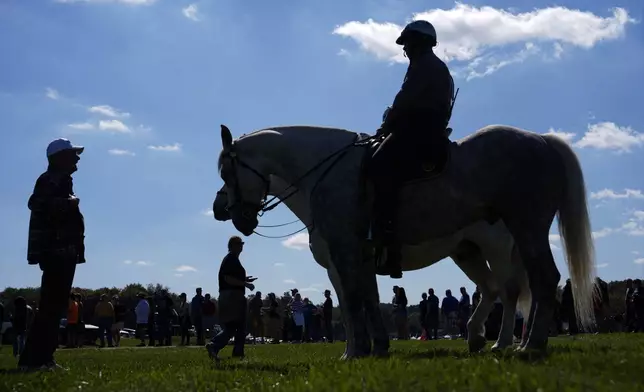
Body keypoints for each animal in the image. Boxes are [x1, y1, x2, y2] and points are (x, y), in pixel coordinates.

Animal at [218, 124, 600, 356]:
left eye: (226, 173)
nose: (224, 211)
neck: (326, 175)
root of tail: (541, 139)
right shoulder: (355, 261)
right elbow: (368, 301)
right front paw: (376, 348)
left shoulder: (344, 255)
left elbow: (353, 303)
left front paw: (354, 352)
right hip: (471, 253)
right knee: (503, 288)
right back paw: (487, 338)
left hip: (517, 234)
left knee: (522, 286)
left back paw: (521, 344)